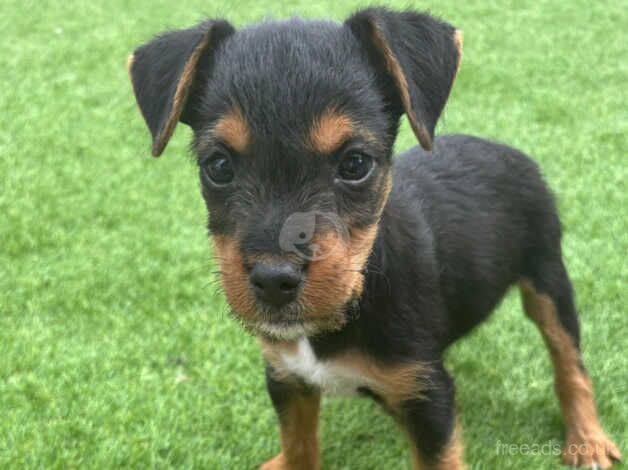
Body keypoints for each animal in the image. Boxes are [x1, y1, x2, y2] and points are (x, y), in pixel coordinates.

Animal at [126, 8, 620, 470]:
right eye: (219, 166)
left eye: (355, 164)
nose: (273, 280)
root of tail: (504, 149)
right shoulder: (287, 378)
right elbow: (299, 445)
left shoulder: (429, 400)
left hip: (548, 278)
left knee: (569, 363)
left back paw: (587, 439)